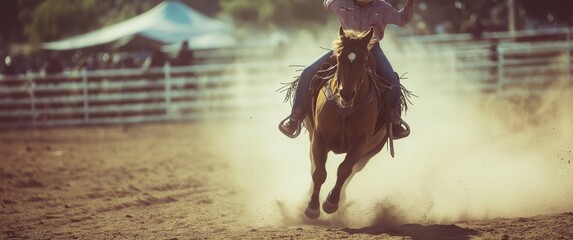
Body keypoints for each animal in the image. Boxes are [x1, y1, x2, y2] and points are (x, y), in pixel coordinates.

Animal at [282, 26, 398, 219]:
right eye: (339, 58)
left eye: (364, 60)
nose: (346, 94)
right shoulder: (319, 137)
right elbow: (319, 172)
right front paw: (312, 207)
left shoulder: (361, 142)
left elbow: (344, 169)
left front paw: (331, 202)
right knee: (314, 165)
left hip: (372, 150)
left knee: (353, 171)